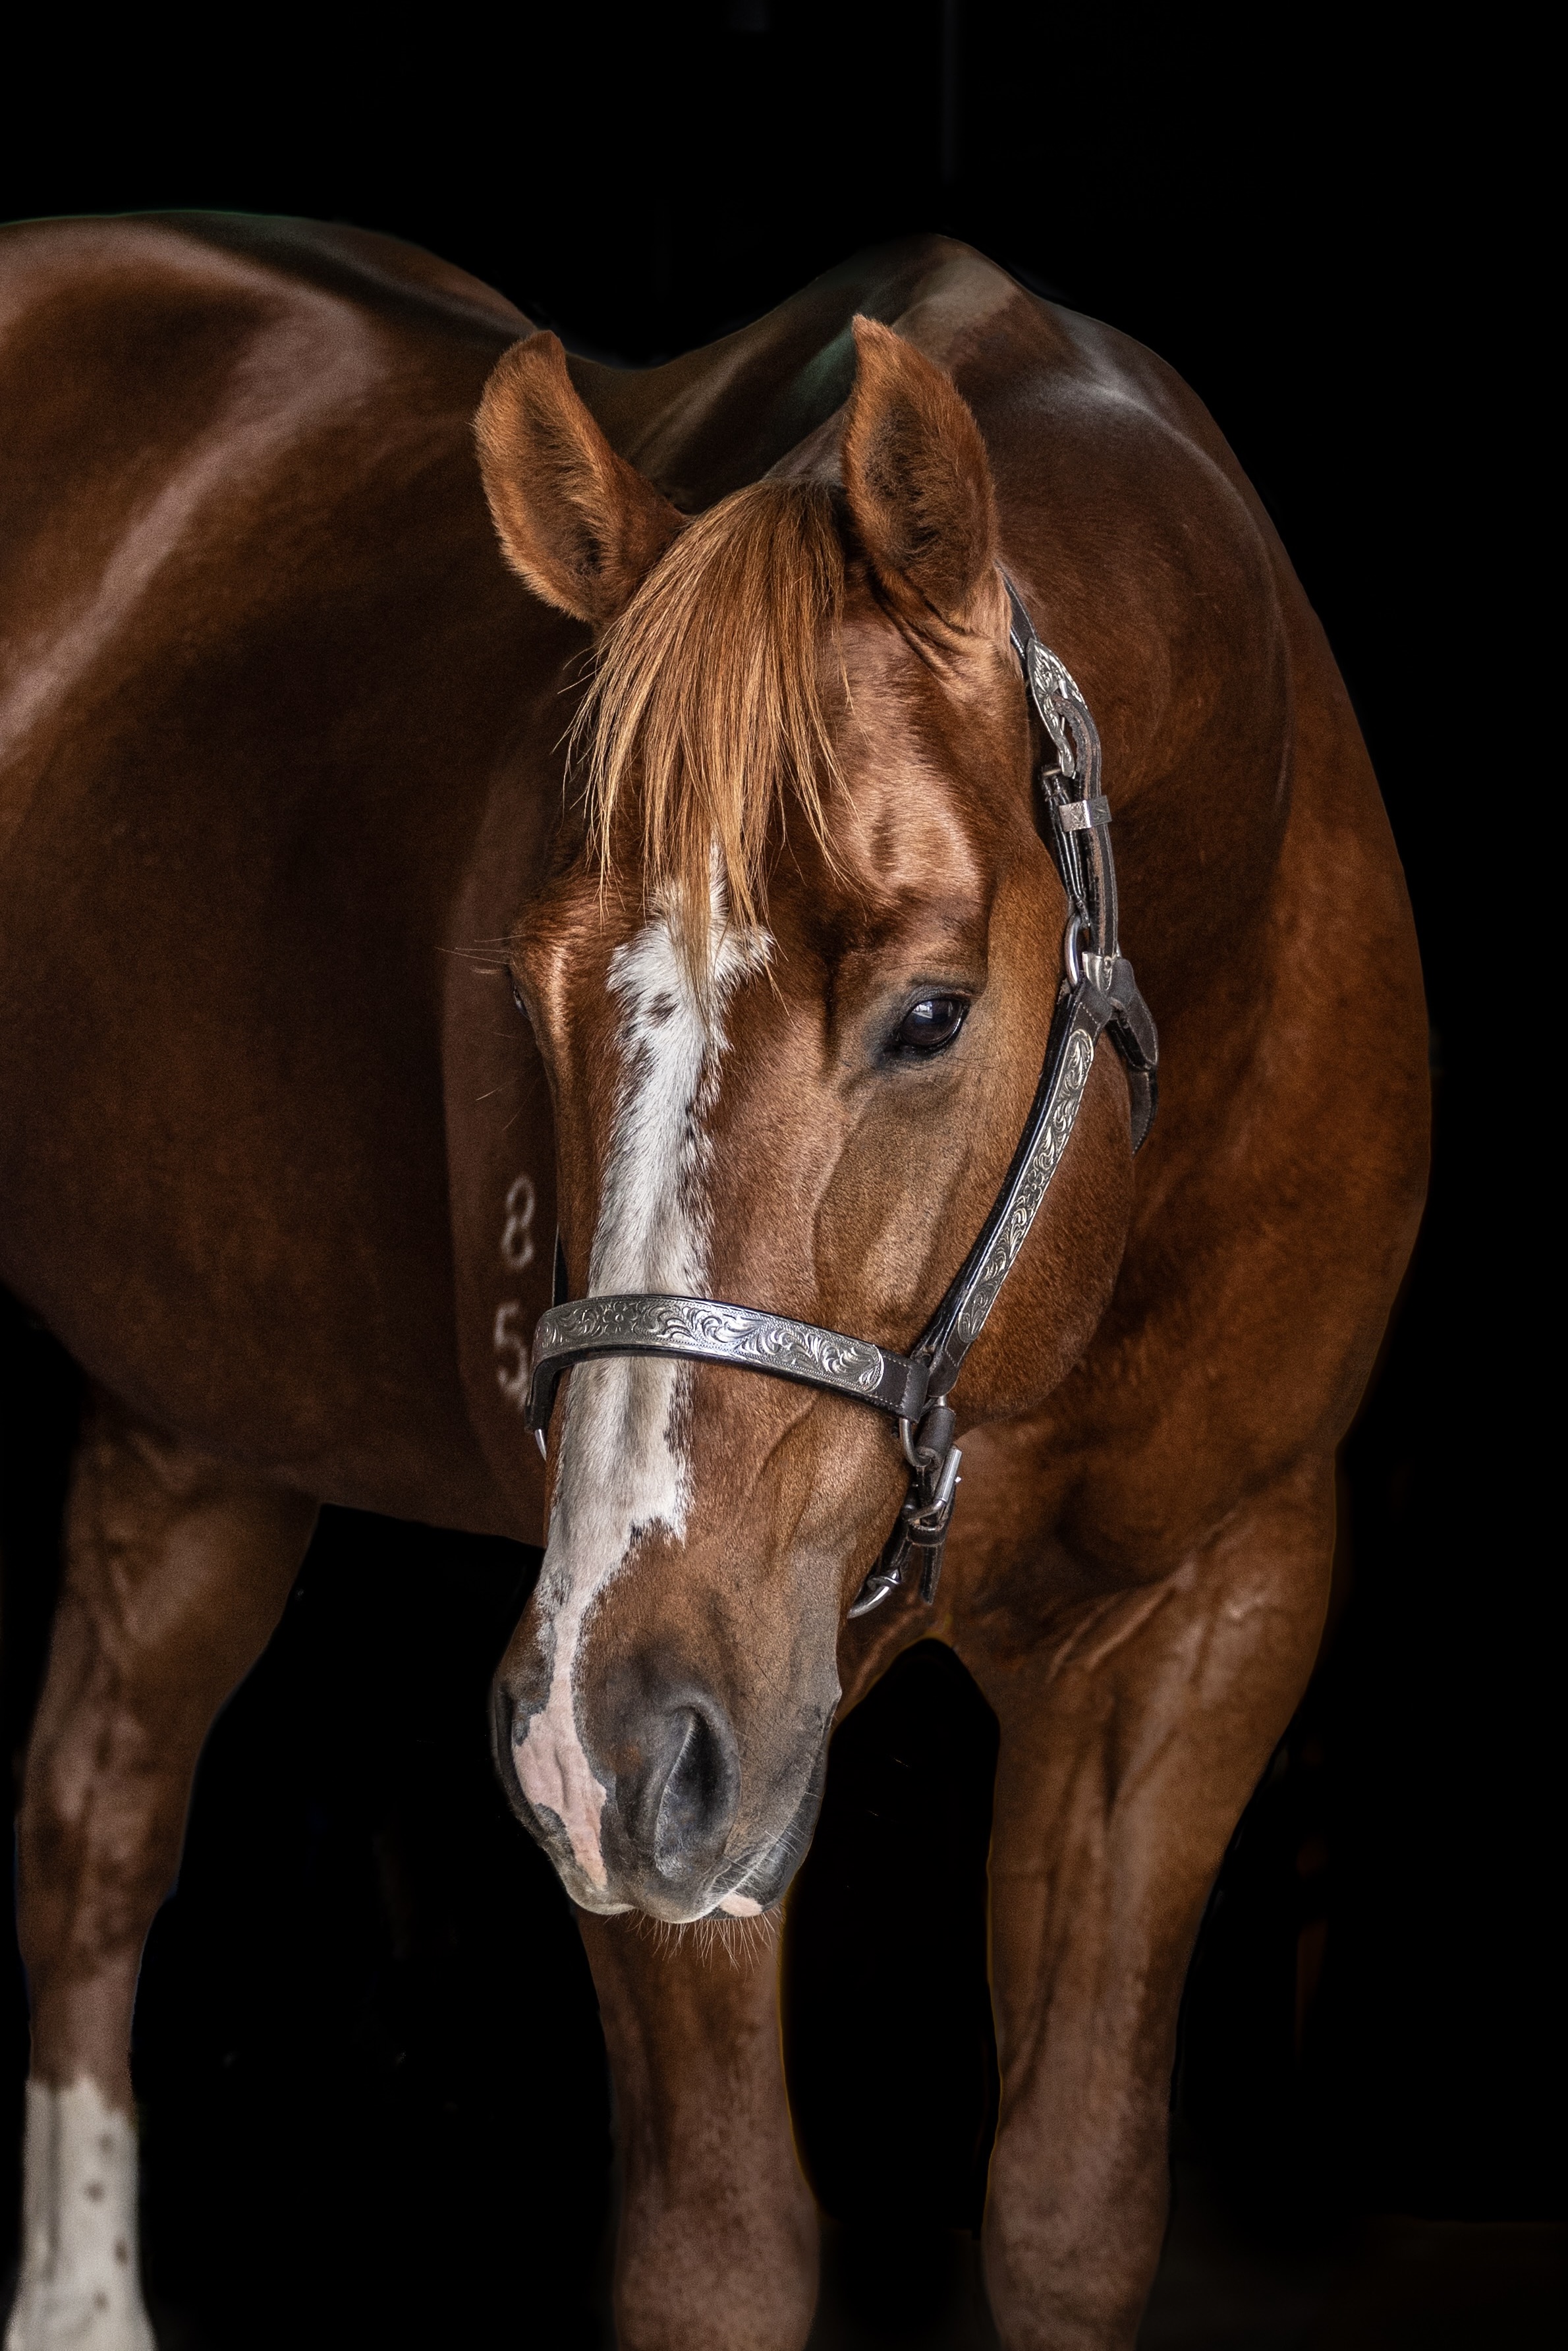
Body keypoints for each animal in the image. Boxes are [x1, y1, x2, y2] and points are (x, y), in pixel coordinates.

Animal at [0, 212, 1427, 2351]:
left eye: (930, 1011)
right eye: (527, 995)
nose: (604, 1744)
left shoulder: (1210, 1610)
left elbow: (1070, 2211)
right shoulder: (697, 1753)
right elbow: (723, 2253)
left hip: (203, 1418)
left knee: (96, 1811)